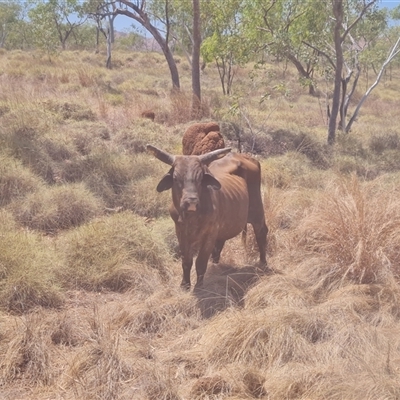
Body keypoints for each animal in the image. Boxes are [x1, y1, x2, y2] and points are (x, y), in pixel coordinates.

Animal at [147, 145, 268, 290]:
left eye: (200, 178)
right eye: (175, 178)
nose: (191, 202)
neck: (191, 217)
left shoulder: (210, 233)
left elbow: (200, 262)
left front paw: (199, 287)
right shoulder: (181, 232)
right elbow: (186, 260)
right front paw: (185, 284)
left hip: (257, 211)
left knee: (261, 233)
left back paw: (263, 263)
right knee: (220, 243)